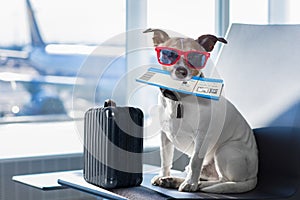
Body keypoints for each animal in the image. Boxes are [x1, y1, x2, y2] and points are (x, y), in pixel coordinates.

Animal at [143, 28, 258, 194]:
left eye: (195, 57)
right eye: (168, 54)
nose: (181, 71)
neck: (179, 99)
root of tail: (254, 176)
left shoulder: (202, 137)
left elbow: (195, 161)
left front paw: (191, 184)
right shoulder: (165, 136)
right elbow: (165, 159)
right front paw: (163, 175)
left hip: (225, 150)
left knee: (224, 181)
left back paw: (197, 185)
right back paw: (173, 180)